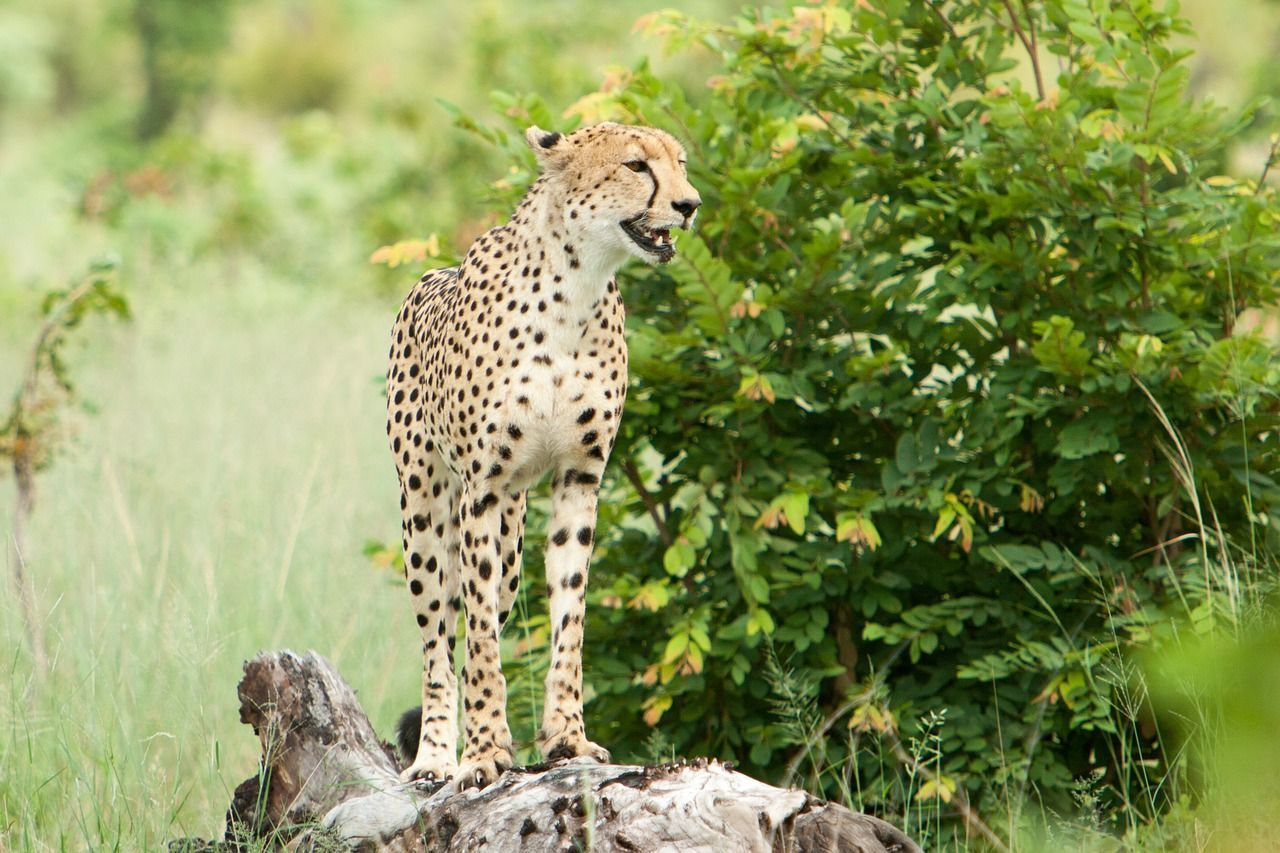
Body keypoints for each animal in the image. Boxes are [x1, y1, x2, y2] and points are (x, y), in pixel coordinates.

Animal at [385, 122, 700, 789]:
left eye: (681, 163)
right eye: (636, 166)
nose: (690, 205)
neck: (576, 287)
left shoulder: (579, 479)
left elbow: (569, 619)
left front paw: (567, 738)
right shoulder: (482, 489)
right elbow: (477, 640)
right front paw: (483, 753)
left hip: (511, 543)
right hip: (425, 507)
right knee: (438, 638)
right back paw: (435, 756)